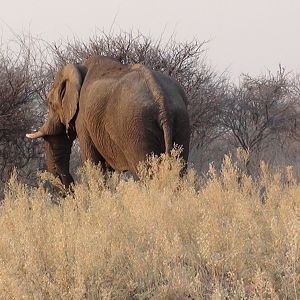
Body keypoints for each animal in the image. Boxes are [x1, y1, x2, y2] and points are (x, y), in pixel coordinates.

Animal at [25, 55, 190, 188]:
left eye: (50, 103)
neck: (79, 69)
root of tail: (161, 99)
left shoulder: (83, 119)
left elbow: (93, 162)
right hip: (180, 121)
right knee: (179, 168)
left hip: (135, 127)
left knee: (144, 171)